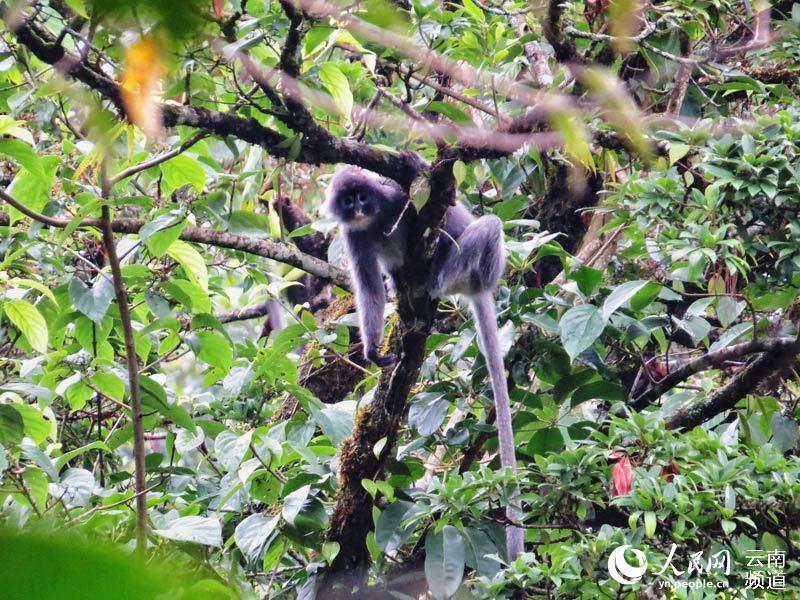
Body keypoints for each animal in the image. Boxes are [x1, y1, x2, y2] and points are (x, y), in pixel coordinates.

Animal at [324, 164, 524, 556]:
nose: (358, 208)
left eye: (363, 197)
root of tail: (477, 287)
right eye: (348, 200)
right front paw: (373, 351)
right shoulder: (354, 236)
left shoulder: (397, 200)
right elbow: (368, 289)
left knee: (488, 226)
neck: (374, 220)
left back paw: (432, 279)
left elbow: (436, 207)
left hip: (466, 266)